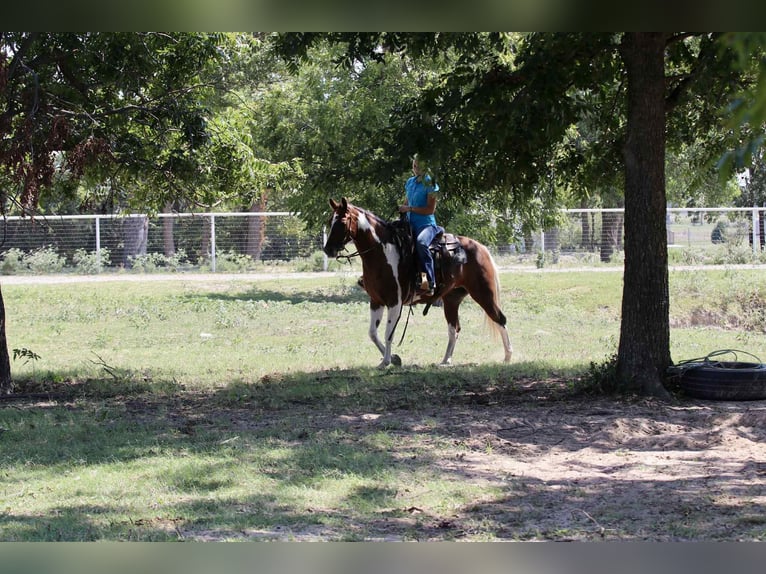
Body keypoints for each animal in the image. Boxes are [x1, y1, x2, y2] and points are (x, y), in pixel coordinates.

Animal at [323, 197, 513, 368]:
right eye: (330, 221)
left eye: (341, 222)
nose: (328, 249)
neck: (383, 252)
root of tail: (480, 248)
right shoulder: (376, 301)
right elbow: (372, 333)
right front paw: (393, 359)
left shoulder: (394, 302)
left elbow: (388, 334)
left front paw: (386, 361)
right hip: (452, 300)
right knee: (454, 329)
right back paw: (446, 360)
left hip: (483, 293)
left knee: (500, 319)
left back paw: (508, 357)